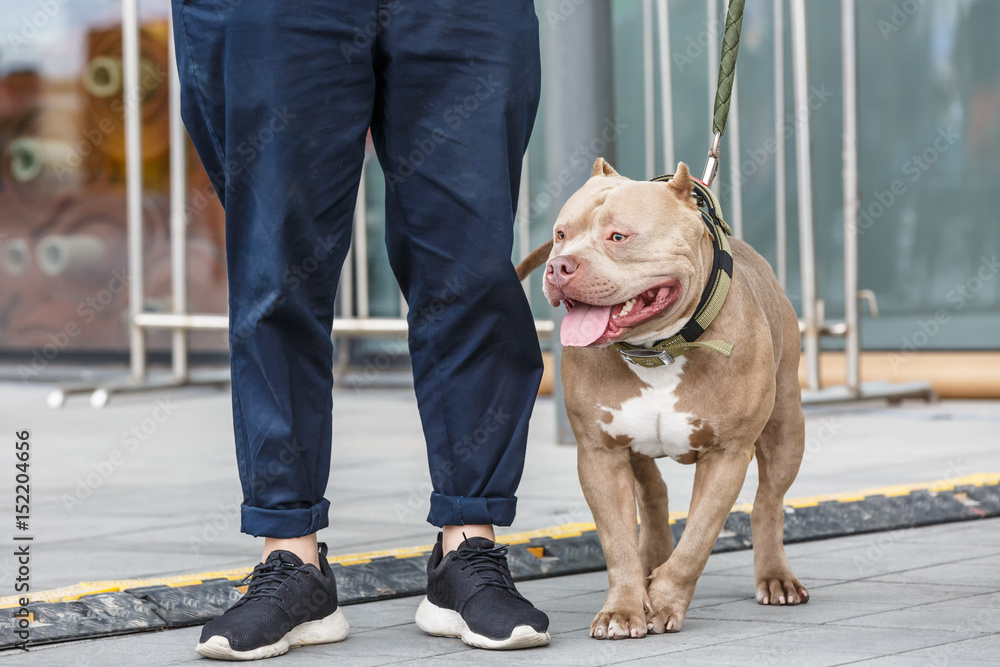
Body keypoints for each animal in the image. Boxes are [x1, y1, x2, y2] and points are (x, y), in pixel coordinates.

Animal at [520, 159, 808, 640]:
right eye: (561, 234)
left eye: (618, 237)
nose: (558, 267)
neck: (658, 350)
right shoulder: (599, 455)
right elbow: (617, 542)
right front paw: (622, 609)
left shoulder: (727, 455)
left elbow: (697, 541)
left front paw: (666, 602)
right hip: (632, 448)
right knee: (653, 491)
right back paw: (650, 562)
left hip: (787, 428)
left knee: (768, 502)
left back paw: (775, 576)